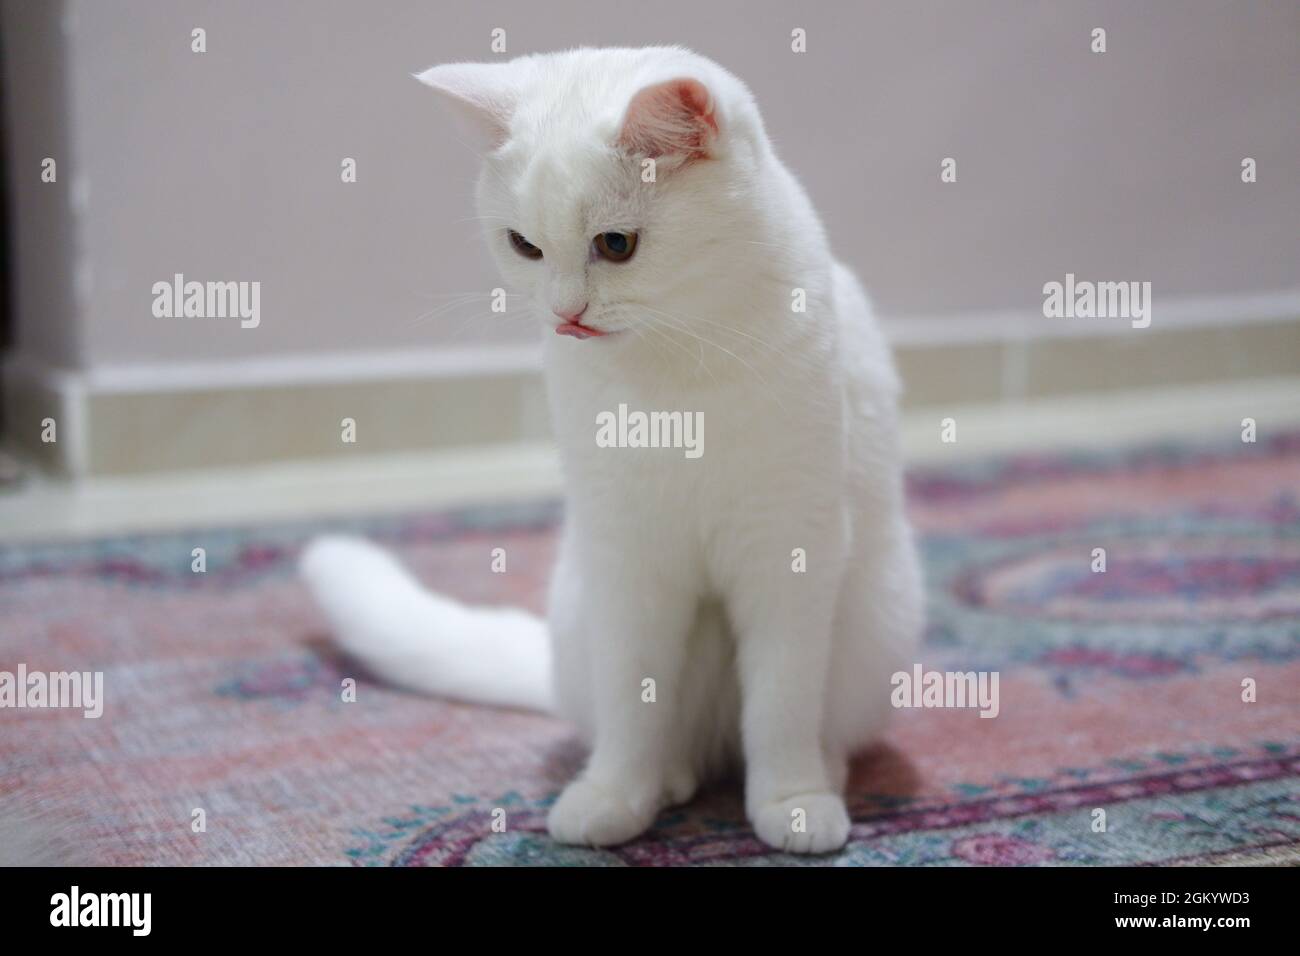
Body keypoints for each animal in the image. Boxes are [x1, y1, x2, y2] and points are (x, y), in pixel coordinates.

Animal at [301, 44, 925, 858]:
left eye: (616, 245)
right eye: (525, 246)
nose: (565, 313)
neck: (675, 365)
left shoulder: (787, 551)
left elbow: (782, 705)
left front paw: (791, 801)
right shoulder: (628, 560)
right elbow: (634, 704)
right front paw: (614, 796)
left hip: (876, 617)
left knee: (804, 728)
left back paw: (818, 775)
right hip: (585, 610)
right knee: (664, 734)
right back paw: (667, 780)